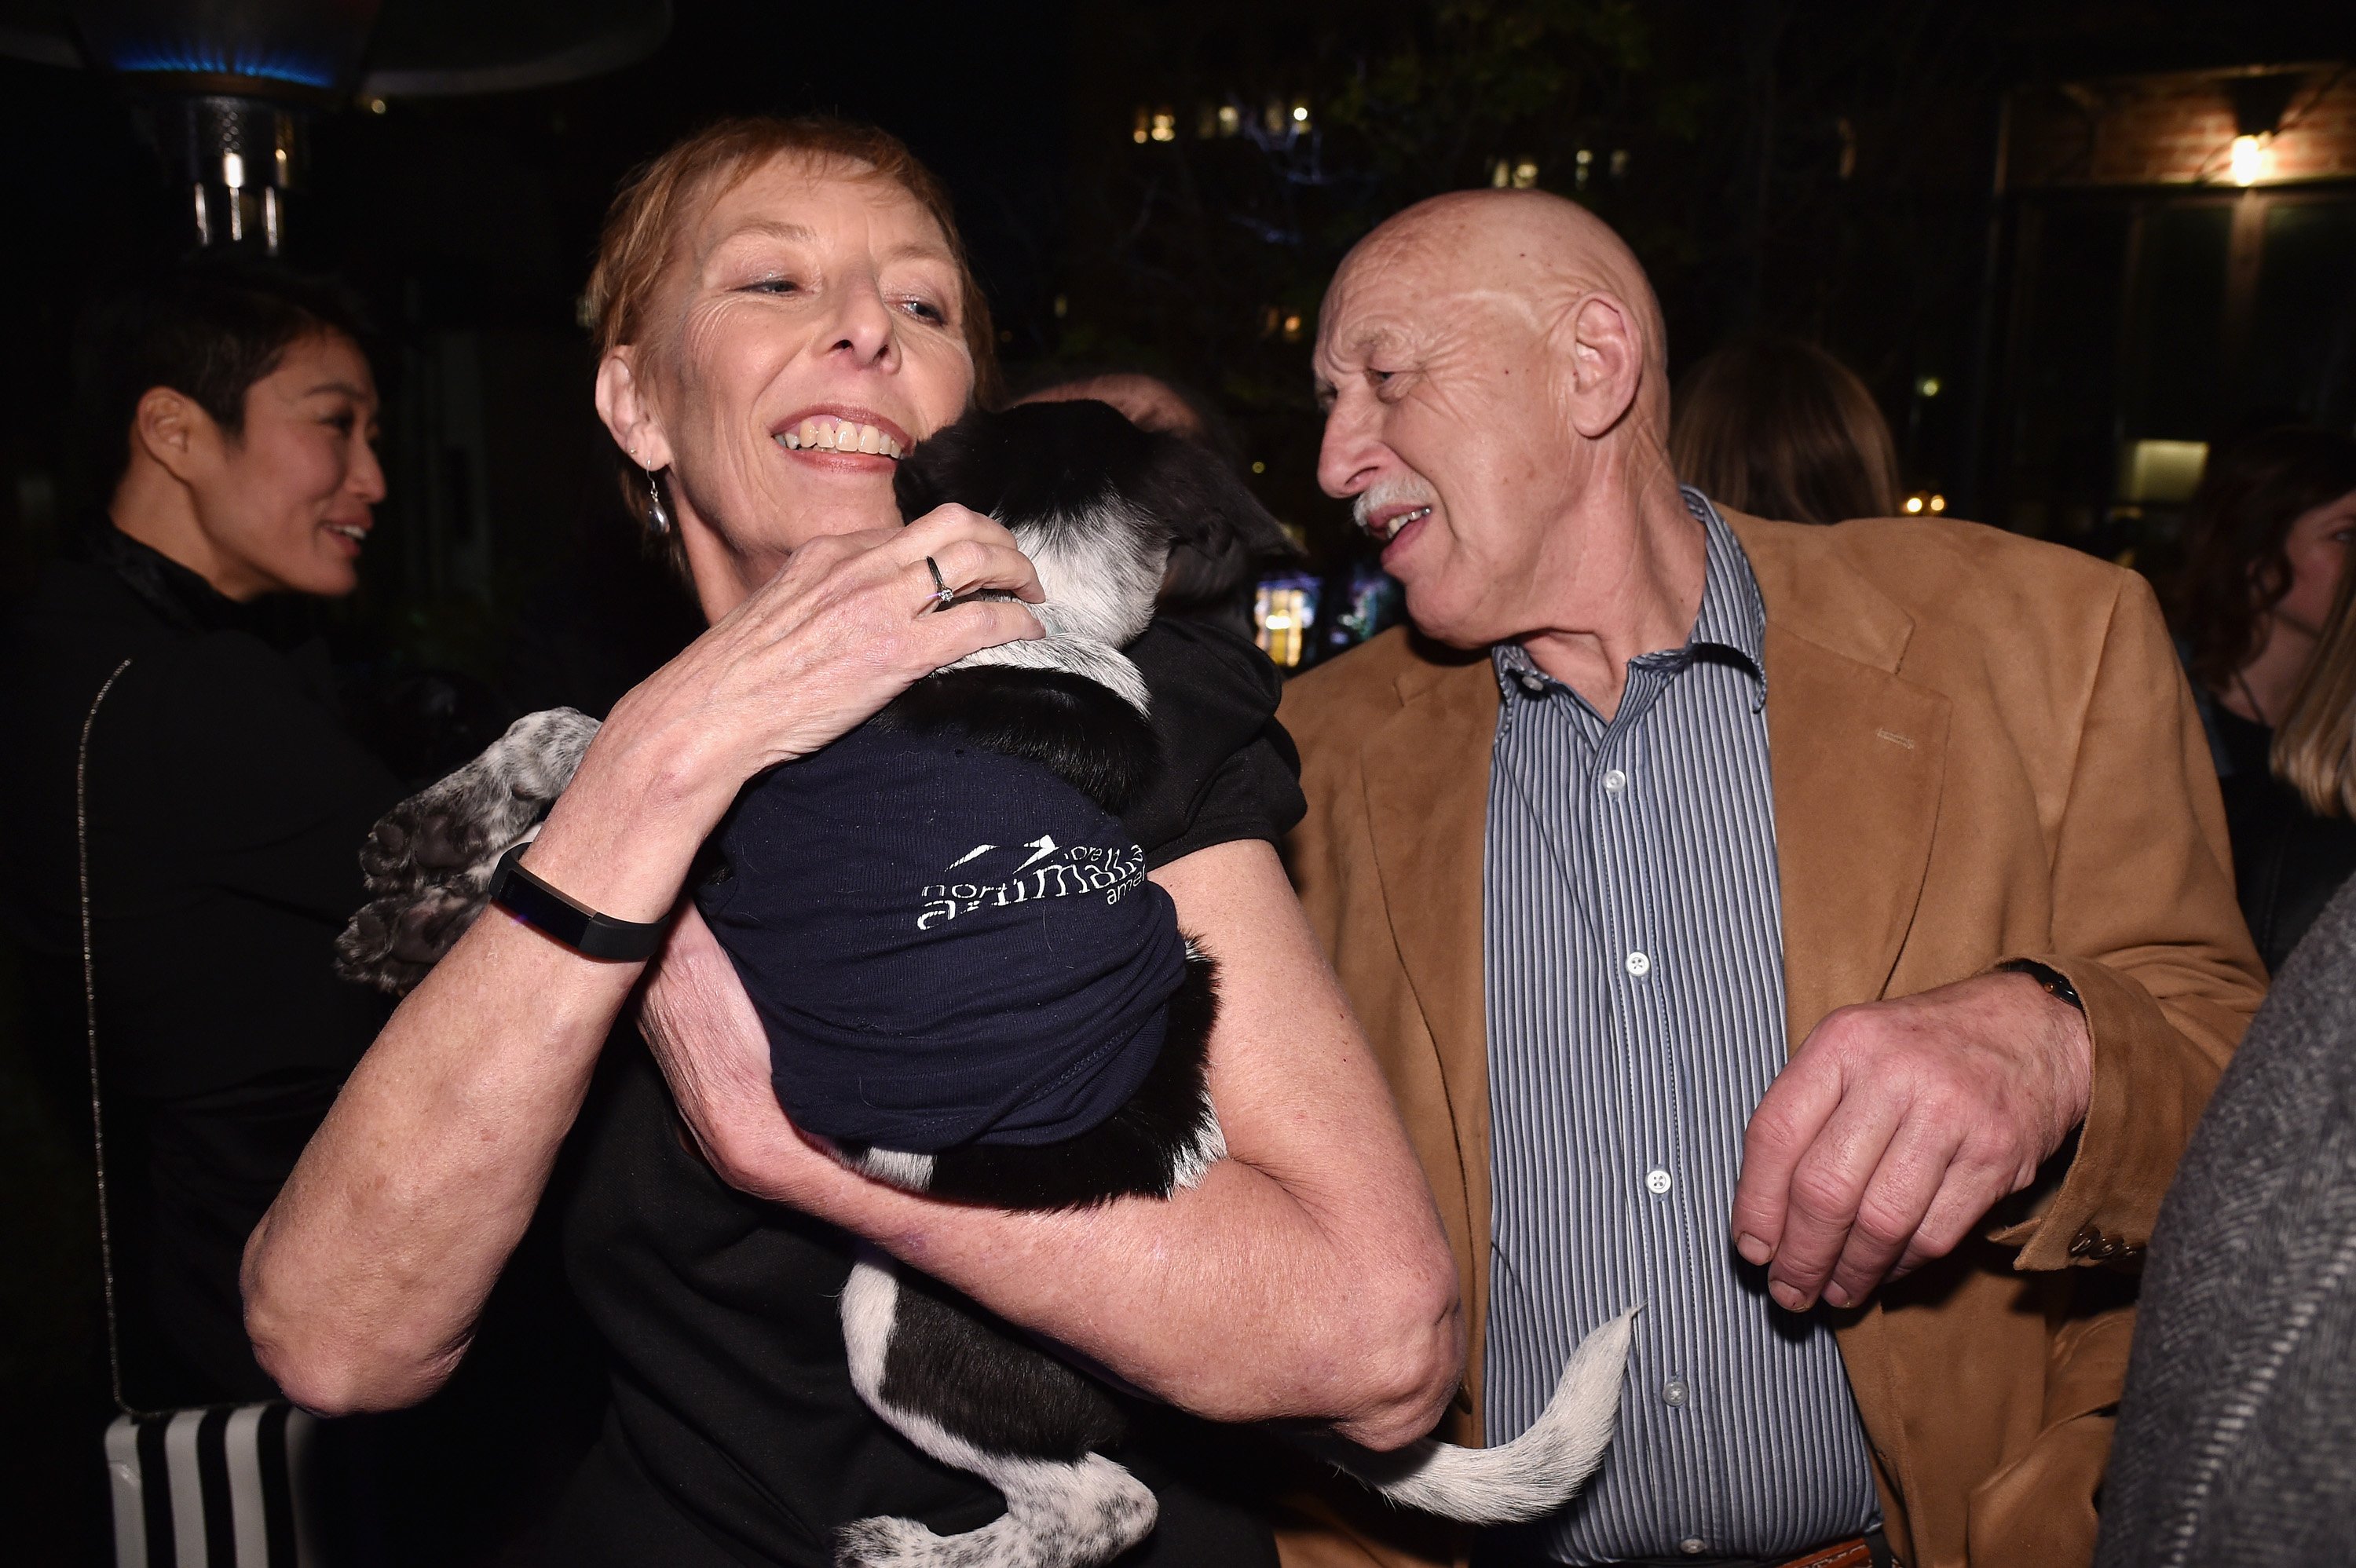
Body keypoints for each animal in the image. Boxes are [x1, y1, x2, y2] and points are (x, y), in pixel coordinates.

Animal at [337, 400, 1640, 1563]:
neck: (1026, 620)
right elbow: (560, 739)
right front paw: (425, 846)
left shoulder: (722, 846)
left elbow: (583, 764)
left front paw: (432, 909)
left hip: (898, 1321)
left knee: (1113, 1507)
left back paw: (910, 1550)